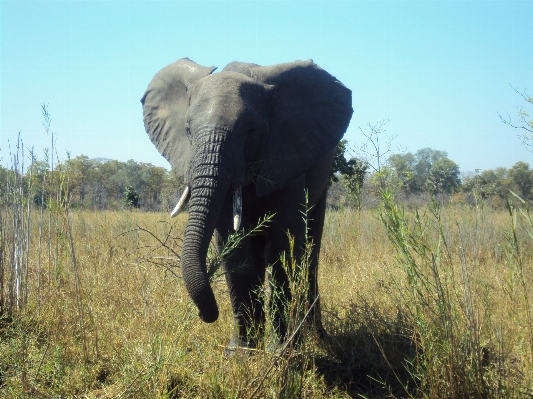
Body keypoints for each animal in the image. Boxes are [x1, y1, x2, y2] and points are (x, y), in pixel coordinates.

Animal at [140, 57, 354, 352]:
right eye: (188, 130)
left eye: (252, 132)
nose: (205, 314)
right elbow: (235, 249)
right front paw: (242, 353)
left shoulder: (286, 158)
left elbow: (284, 244)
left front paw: (281, 352)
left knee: (310, 252)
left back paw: (317, 338)